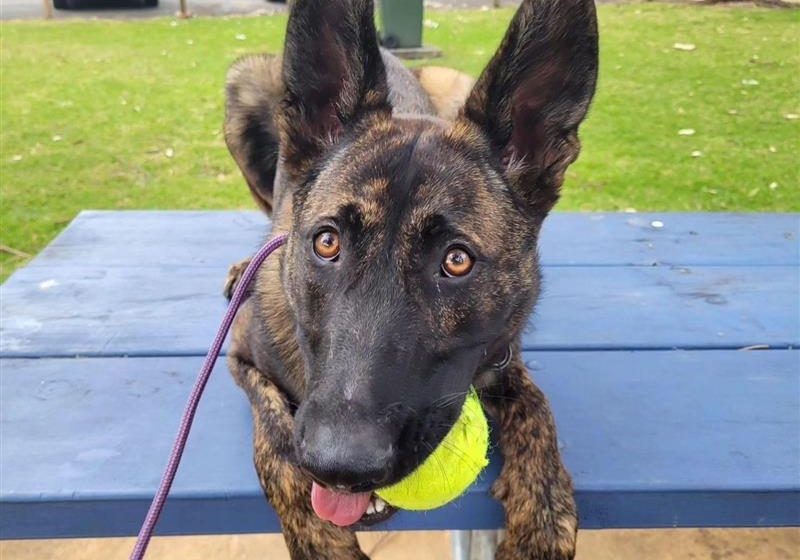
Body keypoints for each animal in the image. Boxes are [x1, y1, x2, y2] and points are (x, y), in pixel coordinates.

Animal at [222, 1, 596, 556]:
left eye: (456, 260)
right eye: (326, 243)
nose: (341, 467)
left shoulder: (503, 354)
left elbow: (535, 405)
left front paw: (544, 517)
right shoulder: (241, 357)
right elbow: (277, 438)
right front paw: (320, 540)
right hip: (246, 84)